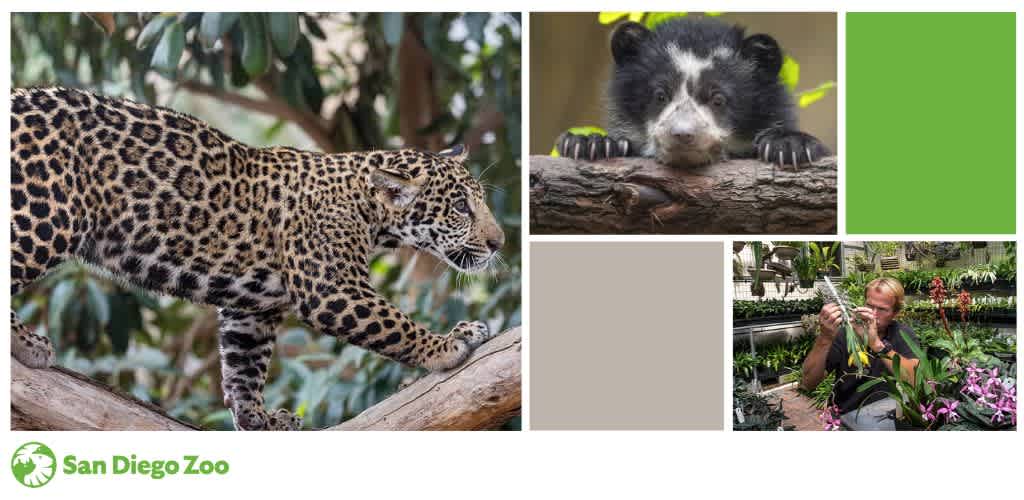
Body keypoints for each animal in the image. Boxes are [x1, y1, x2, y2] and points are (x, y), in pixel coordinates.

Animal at [10, 87, 506, 430]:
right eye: (460, 207)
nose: (499, 242)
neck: (369, 211)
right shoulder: (333, 289)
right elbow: (394, 325)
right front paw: (449, 344)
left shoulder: (252, 307)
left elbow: (244, 365)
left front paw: (259, 420)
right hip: (45, 215)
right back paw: (26, 343)